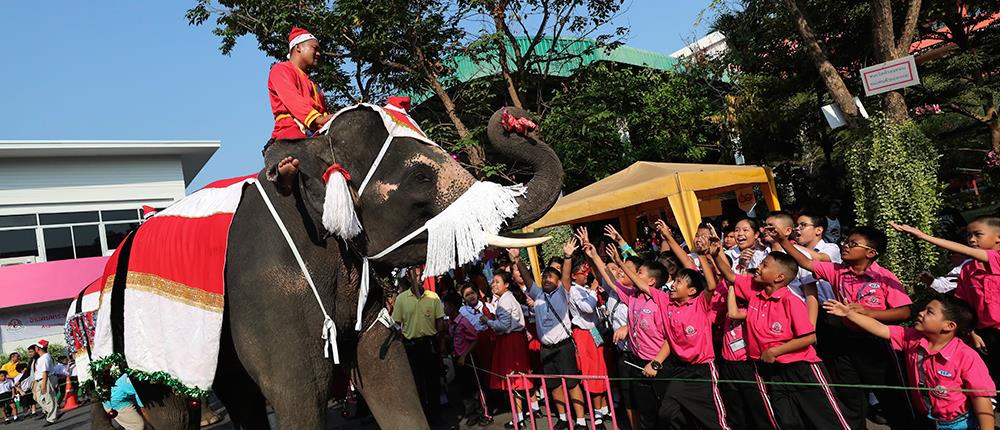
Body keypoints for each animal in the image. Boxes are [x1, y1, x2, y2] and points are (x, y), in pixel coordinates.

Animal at [86, 105, 564, 430]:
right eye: (421, 177)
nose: (516, 119)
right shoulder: (270, 288)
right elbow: (300, 393)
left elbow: (386, 370)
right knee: (170, 412)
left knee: (238, 394)